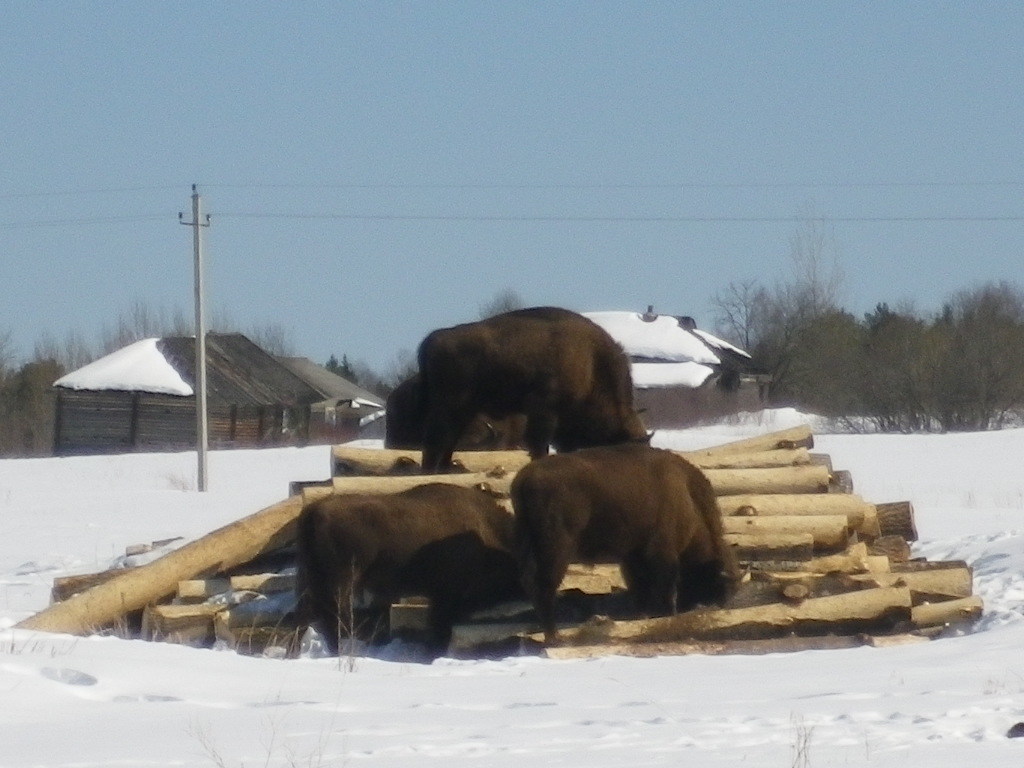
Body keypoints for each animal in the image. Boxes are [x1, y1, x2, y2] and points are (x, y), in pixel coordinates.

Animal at [294, 487, 520, 655]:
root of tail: (314, 512)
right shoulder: (446, 595)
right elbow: (439, 625)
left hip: (314, 581)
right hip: (342, 582)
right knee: (334, 615)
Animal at [415, 307, 647, 475]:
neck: (591, 361)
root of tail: (433, 339)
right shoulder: (545, 411)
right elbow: (539, 444)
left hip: (464, 409)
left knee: (449, 436)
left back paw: (444, 468)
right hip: (449, 404)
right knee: (436, 435)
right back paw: (430, 471)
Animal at [509, 442, 737, 647]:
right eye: (716, 583)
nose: (719, 605)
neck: (688, 497)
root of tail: (525, 479)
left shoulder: (632, 556)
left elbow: (639, 588)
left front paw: (642, 616)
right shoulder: (662, 552)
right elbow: (664, 585)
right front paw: (666, 614)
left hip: (528, 543)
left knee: (530, 582)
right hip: (557, 548)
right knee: (545, 585)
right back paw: (554, 637)